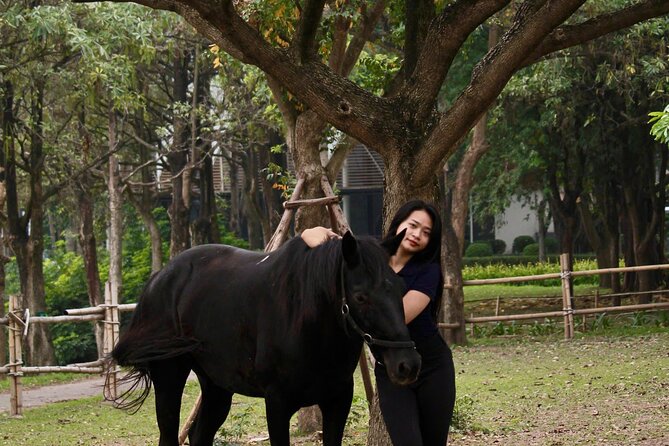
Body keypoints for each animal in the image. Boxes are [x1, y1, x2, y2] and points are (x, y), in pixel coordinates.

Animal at [107, 231, 421, 446]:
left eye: (401, 288)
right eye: (360, 296)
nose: (407, 364)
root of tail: (159, 279)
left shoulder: (337, 401)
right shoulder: (278, 404)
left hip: (216, 387)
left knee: (200, 435)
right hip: (170, 378)